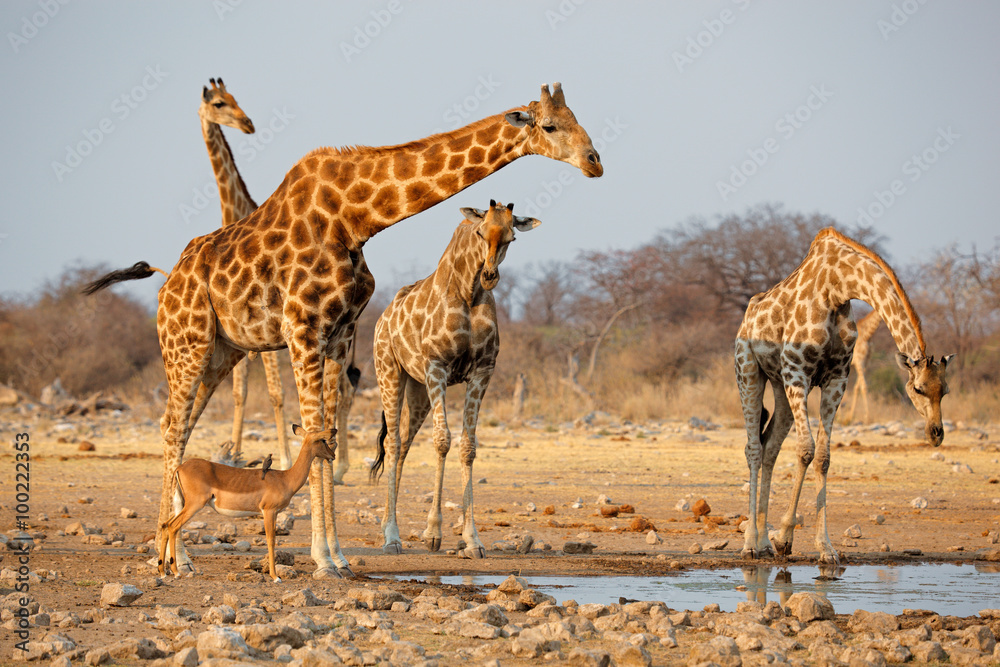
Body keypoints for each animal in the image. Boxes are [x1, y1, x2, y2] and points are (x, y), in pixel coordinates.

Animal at [369, 200, 540, 557]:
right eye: (479, 233)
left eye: (512, 238)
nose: (489, 276)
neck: (468, 293)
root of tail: (382, 318)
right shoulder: (438, 366)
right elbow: (442, 440)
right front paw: (433, 533)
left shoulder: (482, 371)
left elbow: (467, 446)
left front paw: (472, 539)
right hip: (389, 372)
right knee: (393, 442)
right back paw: (391, 536)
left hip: (418, 389)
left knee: (403, 444)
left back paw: (387, 526)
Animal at [734, 228, 953, 565]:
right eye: (917, 389)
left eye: (945, 390)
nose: (936, 434)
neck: (837, 287)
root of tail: (747, 316)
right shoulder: (798, 371)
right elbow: (806, 450)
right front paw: (784, 538)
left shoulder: (837, 378)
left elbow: (824, 457)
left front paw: (824, 548)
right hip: (748, 372)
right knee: (753, 448)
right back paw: (749, 544)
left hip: (779, 385)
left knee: (770, 446)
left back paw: (762, 542)